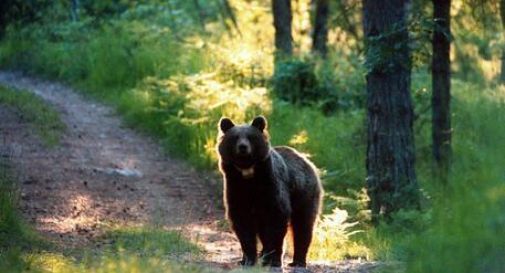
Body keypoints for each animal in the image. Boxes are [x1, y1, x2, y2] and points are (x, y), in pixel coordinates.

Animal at [216, 115, 318, 268]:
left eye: (251, 137)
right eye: (235, 137)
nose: (243, 147)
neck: (248, 174)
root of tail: (306, 160)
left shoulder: (271, 186)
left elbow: (276, 218)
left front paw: (273, 260)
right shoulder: (236, 188)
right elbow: (242, 222)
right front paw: (248, 259)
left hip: (304, 193)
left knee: (303, 225)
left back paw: (298, 261)